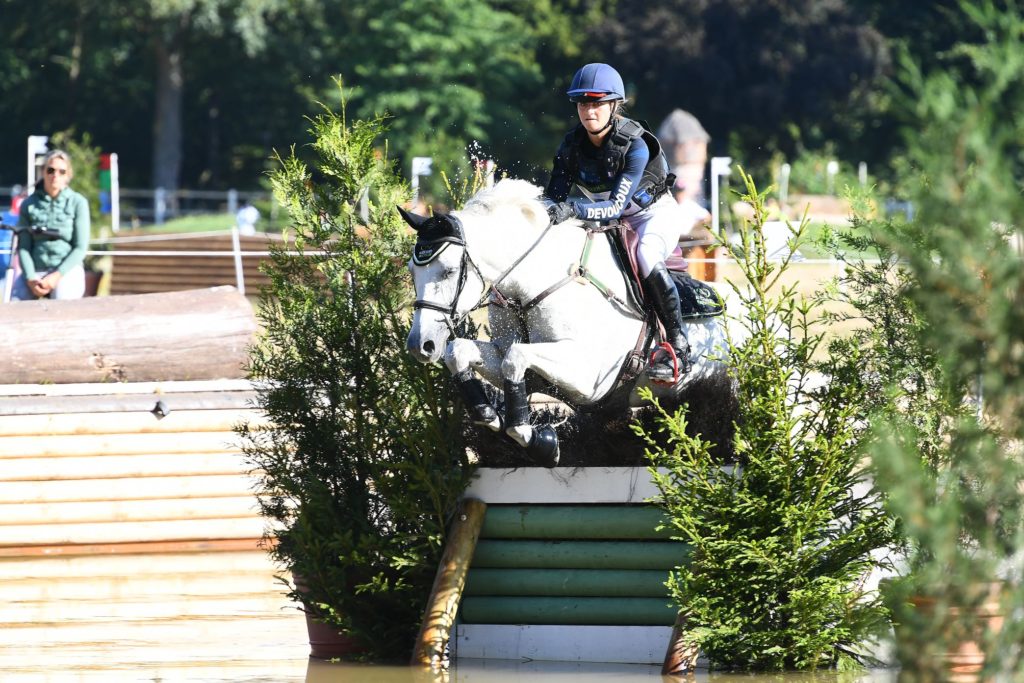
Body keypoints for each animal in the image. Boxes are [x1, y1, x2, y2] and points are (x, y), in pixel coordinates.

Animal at [403, 178, 749, 464]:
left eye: (448, 270)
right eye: (411, 270)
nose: (421, 345)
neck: (531, 283)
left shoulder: (589, 377)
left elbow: (516, 358)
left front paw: (534, 439)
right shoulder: (525, 367)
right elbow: (460, 352)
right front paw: (490, 415)